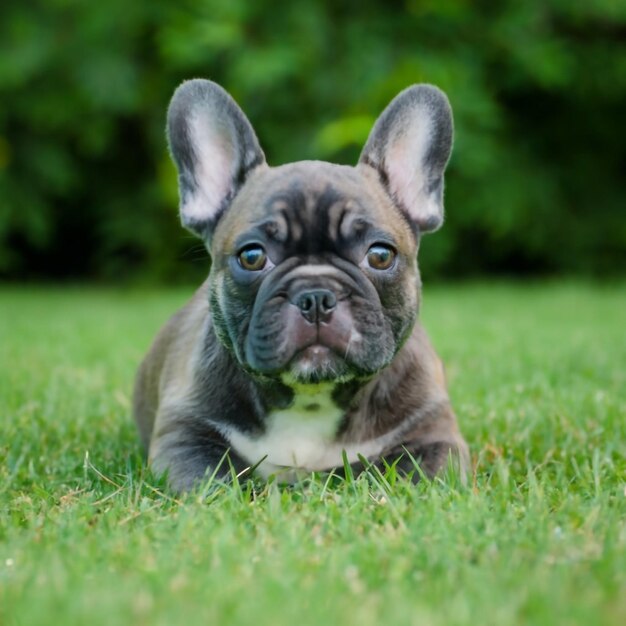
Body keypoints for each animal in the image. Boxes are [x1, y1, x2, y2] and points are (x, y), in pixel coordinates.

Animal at [135, 78, 468, 490]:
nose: (316, 296)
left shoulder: (434, 435)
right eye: (252, 256)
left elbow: (419, 479)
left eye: (379, 255)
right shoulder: (184, 437)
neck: (311, 398)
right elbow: (212, 483)